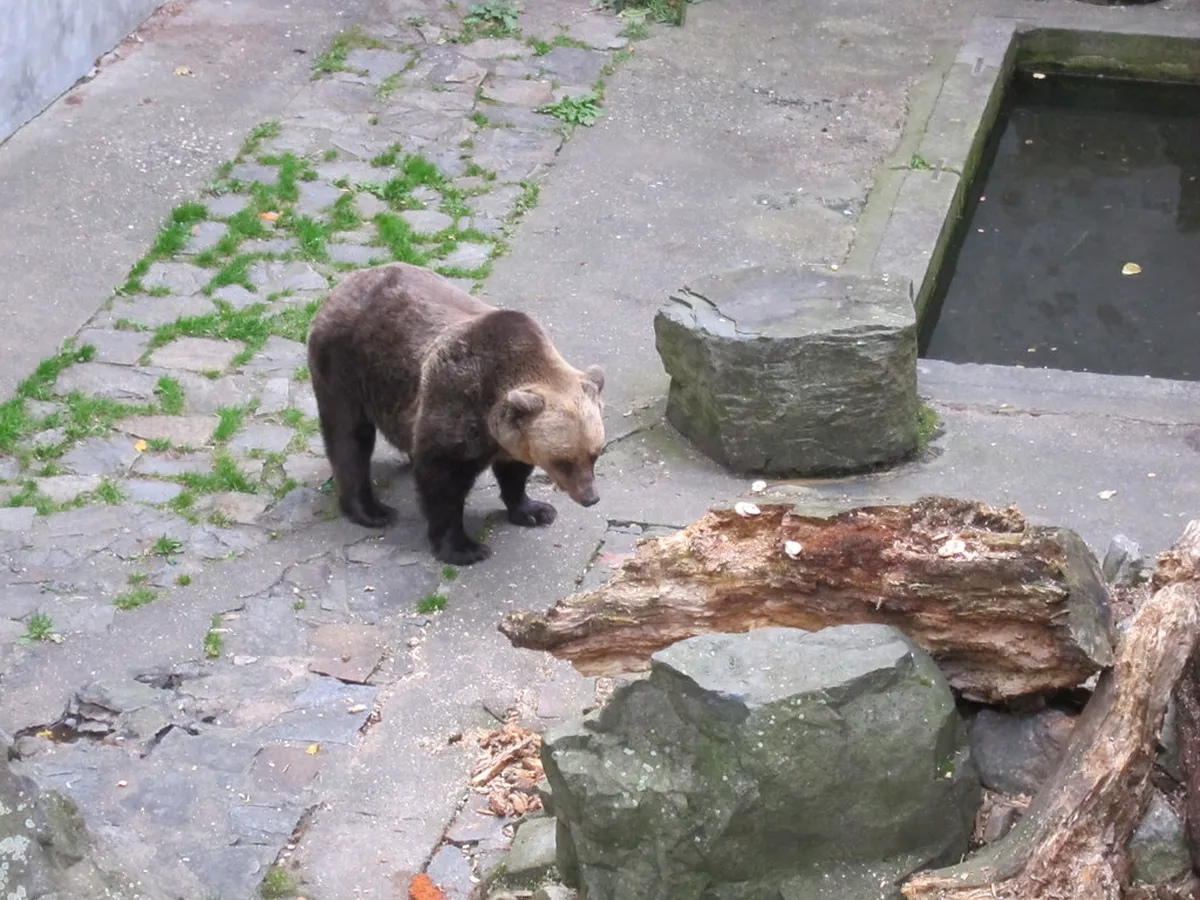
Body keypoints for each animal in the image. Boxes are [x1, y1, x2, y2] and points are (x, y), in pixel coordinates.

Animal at [306, 262, 606, 565]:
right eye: (563, 461)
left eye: (595, 454)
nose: (590, 497)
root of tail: (342, 286)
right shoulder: (457, 400)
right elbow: (443, 481)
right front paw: (465, 548)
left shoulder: (510, 434)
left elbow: (515, 471)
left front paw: (535, 510)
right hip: (347, 367)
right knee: (349, 438)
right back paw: (373, 511)